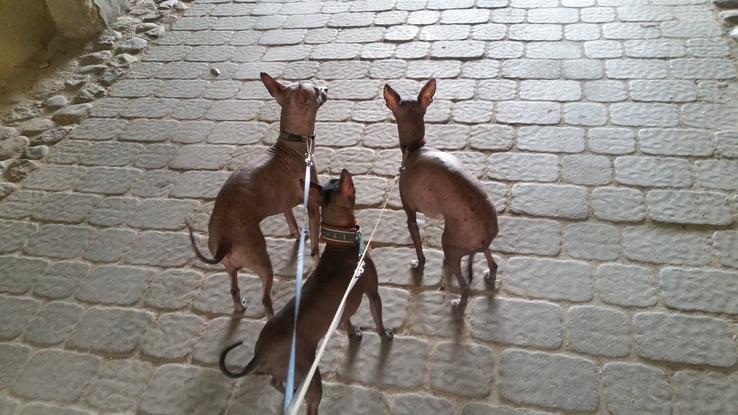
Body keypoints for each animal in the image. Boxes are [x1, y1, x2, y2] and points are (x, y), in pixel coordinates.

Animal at [188, 73, 326, 316]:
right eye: (317, 90)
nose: (327, 88)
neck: (292, 145)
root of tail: (224, 240)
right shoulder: (312, 205)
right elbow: (316, 244)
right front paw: (316, 258)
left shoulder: (284, 204)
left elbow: (291, 221)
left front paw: (298, 234)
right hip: (262, 263)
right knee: (265, 298)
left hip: (230, 267)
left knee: (233, 288)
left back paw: (239, 306)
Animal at [217, 170, 392, 415]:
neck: (340, 245)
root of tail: (260, 351)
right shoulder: (373, 293)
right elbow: (378, 321)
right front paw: (386, 336)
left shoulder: (342, 310)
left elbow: (347, 322)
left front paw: (354, 334)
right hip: (310, 376)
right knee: (310, 404)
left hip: (286, 373)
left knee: (275, 381)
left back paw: (286, 392)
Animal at [382, 79, 498, 310]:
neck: (416, 148)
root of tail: (486, 234)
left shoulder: (410, 215)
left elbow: (419, 249)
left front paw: (419, 265)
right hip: (466, 246)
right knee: (493, 263)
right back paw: (489, 274)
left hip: (449, 244)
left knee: (466, 287)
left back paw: (458, 304)